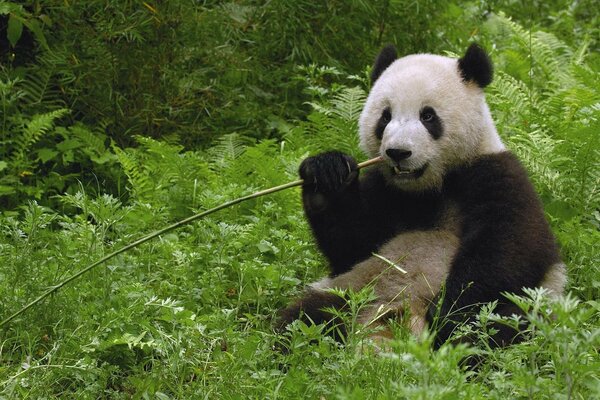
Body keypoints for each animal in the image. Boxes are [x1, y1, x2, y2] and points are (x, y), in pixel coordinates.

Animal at [276, 43, 568, 348]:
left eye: (428, 116)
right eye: (385, 116)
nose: (398, 152)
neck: (429, 187)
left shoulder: (496, 175)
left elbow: (510, 249)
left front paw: (447, 313)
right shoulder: (384, 190)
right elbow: (351, 245)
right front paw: (327, 173)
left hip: (526, 307)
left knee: (498, 324)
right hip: (353, 289)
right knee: (306, 318)